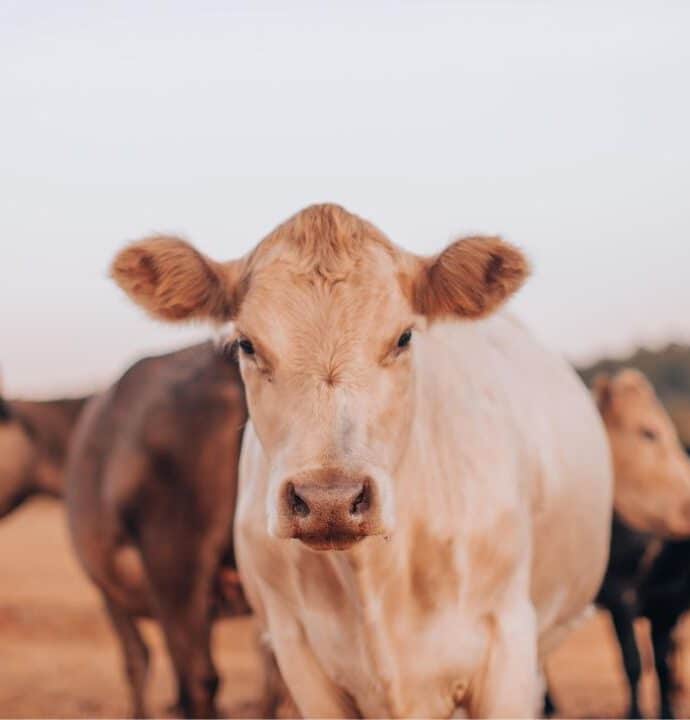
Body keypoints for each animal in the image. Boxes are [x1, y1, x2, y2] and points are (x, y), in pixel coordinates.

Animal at [546, 369, 690, 718]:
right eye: (648, 432)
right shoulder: (619, 597)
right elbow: (633, 662)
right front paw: (635, 713)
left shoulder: (670, 601)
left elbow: (662, 664)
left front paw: (668, 710)